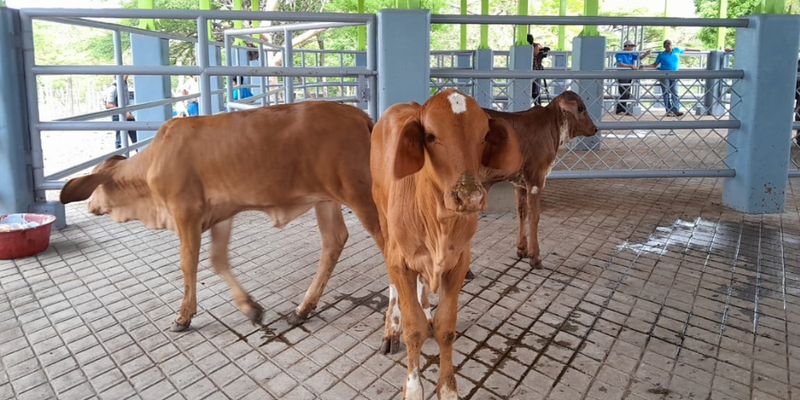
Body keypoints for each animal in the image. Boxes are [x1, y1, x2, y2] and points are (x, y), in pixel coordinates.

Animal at [61, 101, 386, 332]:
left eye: (94, 185)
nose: (90, 206)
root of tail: (361, 117)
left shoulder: (186, 214)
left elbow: (188, 263)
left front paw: (183, 316)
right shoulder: (221, 214)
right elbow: (217, 260)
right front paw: (251, 307)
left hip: (361, 197)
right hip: (326, 200)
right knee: (334, 241)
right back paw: (303, 309)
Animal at [372, 89, 520, 398]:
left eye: (484, 135)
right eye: (431, 136)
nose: (470, 196)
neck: (438, 222)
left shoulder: (459, 262)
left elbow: (445, 327)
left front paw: (449, 389)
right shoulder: (399, 260)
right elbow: (413, 328)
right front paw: (413, 388)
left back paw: (426, 308)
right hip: (382, 223)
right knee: (393, 286)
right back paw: (392, 326)